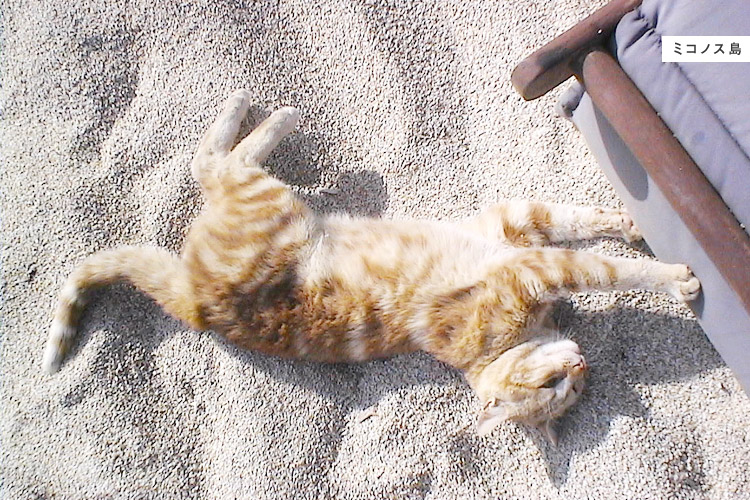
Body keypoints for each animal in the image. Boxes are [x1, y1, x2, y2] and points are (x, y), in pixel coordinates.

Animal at [43, 89, 700, 444]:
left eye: (573, 390)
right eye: (551, 388)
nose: (581, 363)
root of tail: (192, 301)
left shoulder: (521, 227)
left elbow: (581, 220)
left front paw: (631, 223)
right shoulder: (532, 262)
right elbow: (608, 268)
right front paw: (676, 276)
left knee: (207, 161)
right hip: (272, 205)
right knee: (209, 158)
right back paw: (272, 112)